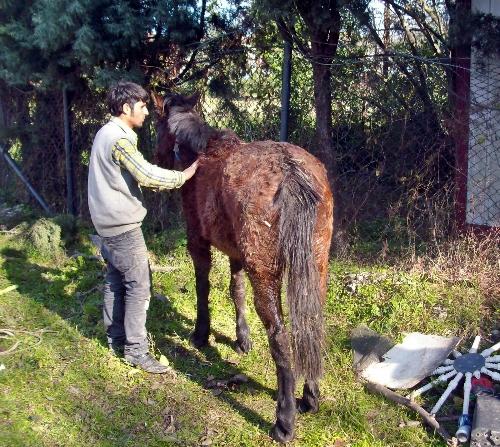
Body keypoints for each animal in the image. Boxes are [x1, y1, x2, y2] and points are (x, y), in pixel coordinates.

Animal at [152, 93, 332, 442]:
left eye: (157, 127)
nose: (155, 157)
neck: (201, 152)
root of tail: (291, 174)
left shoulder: (197, 240)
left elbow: (203, 286)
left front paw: (201, 334)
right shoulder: (236, 253)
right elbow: (236, 290)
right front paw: (242, 339)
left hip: (265, 274)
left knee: (280, 336)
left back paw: (284, 420)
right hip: (316, 267)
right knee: (310, 324)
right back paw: (310, 398)